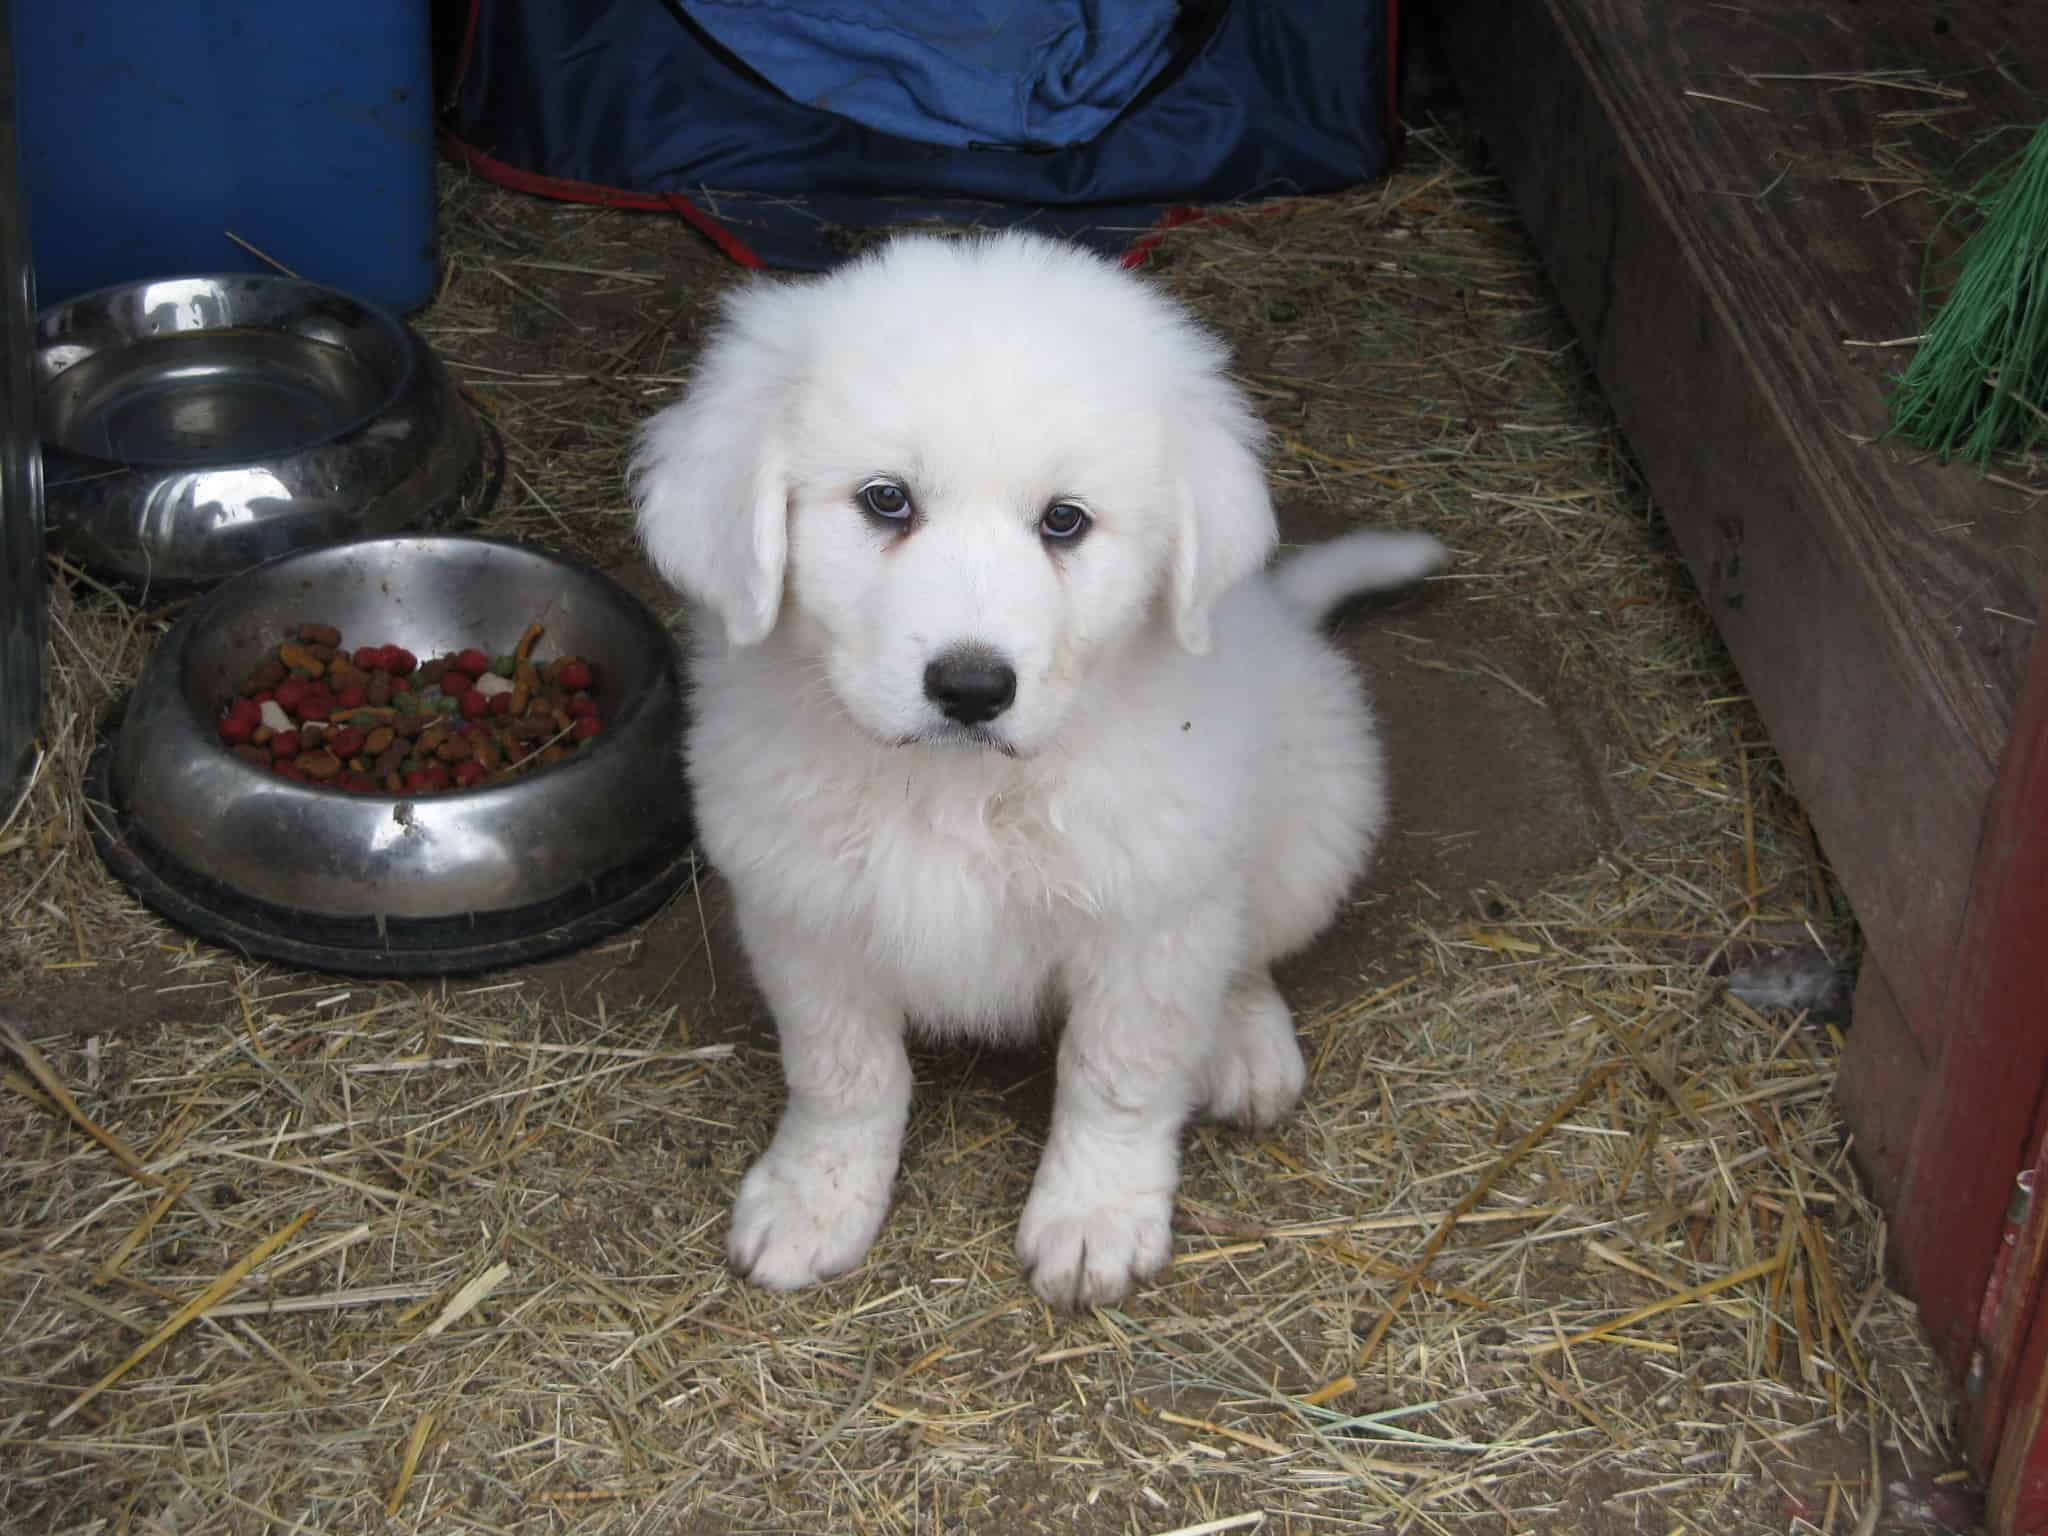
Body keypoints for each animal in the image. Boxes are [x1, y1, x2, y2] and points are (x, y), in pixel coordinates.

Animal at [626, 231, 1441, 1310]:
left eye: (1064, 521)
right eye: (885, 500)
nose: (971, 687)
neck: (955, 787)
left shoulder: (1144, 916)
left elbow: (1118, 1073)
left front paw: (1095, 1216)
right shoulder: (805, 913)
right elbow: (843, 1074)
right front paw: (815, 1200)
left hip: (1315, 819)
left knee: (1246, 947)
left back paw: (1244, 1041)